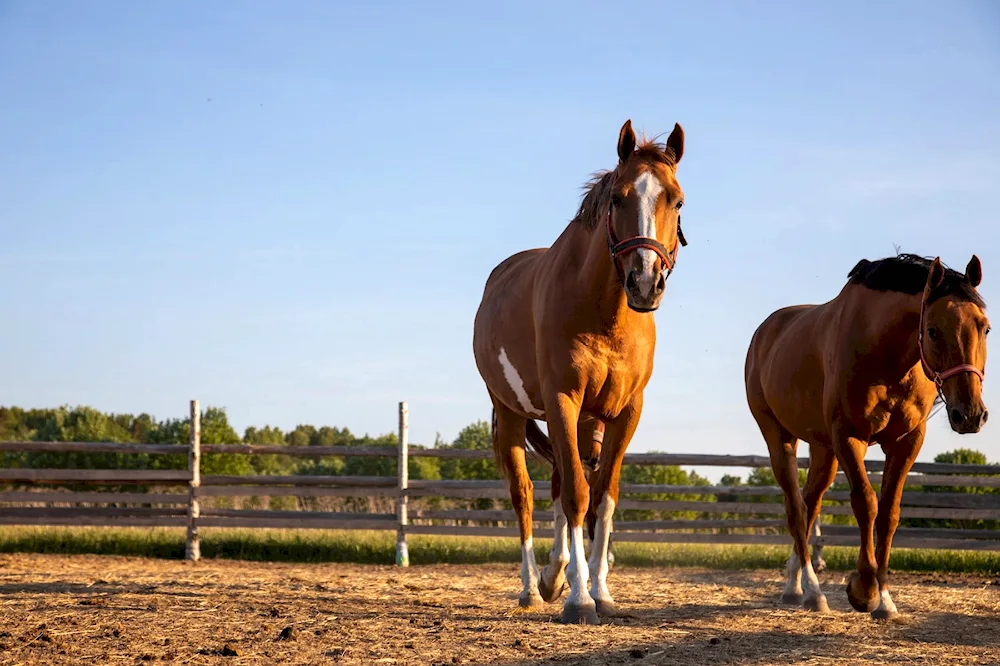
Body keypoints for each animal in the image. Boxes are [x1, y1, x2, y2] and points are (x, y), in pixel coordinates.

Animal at [474, 119, 688, 624]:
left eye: (677, 200)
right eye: (619, 198)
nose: (645, 282)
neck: (604, 316)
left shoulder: (626, 412)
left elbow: (603, 500)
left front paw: (600, 590)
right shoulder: (561, 401)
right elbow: (576, 494)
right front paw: (579, 598)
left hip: (585, 422)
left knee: (560, 488)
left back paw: (555, 575)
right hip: (511, 414)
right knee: (526, 494)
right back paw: (533, 587)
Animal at [748, 252, 988, 616]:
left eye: (985, 327)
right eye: (932, 331)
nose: (970, 414)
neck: (886, 356)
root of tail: (765, 332)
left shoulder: (906, 441)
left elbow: (889, 512)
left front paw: (885, 599)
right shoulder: (849, 437)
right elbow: (866, 504)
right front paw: (863, 590)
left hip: (824, 451)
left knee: (809, 505)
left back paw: (795, 584)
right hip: (780, 439)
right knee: (796, 510)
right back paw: (810, 592)